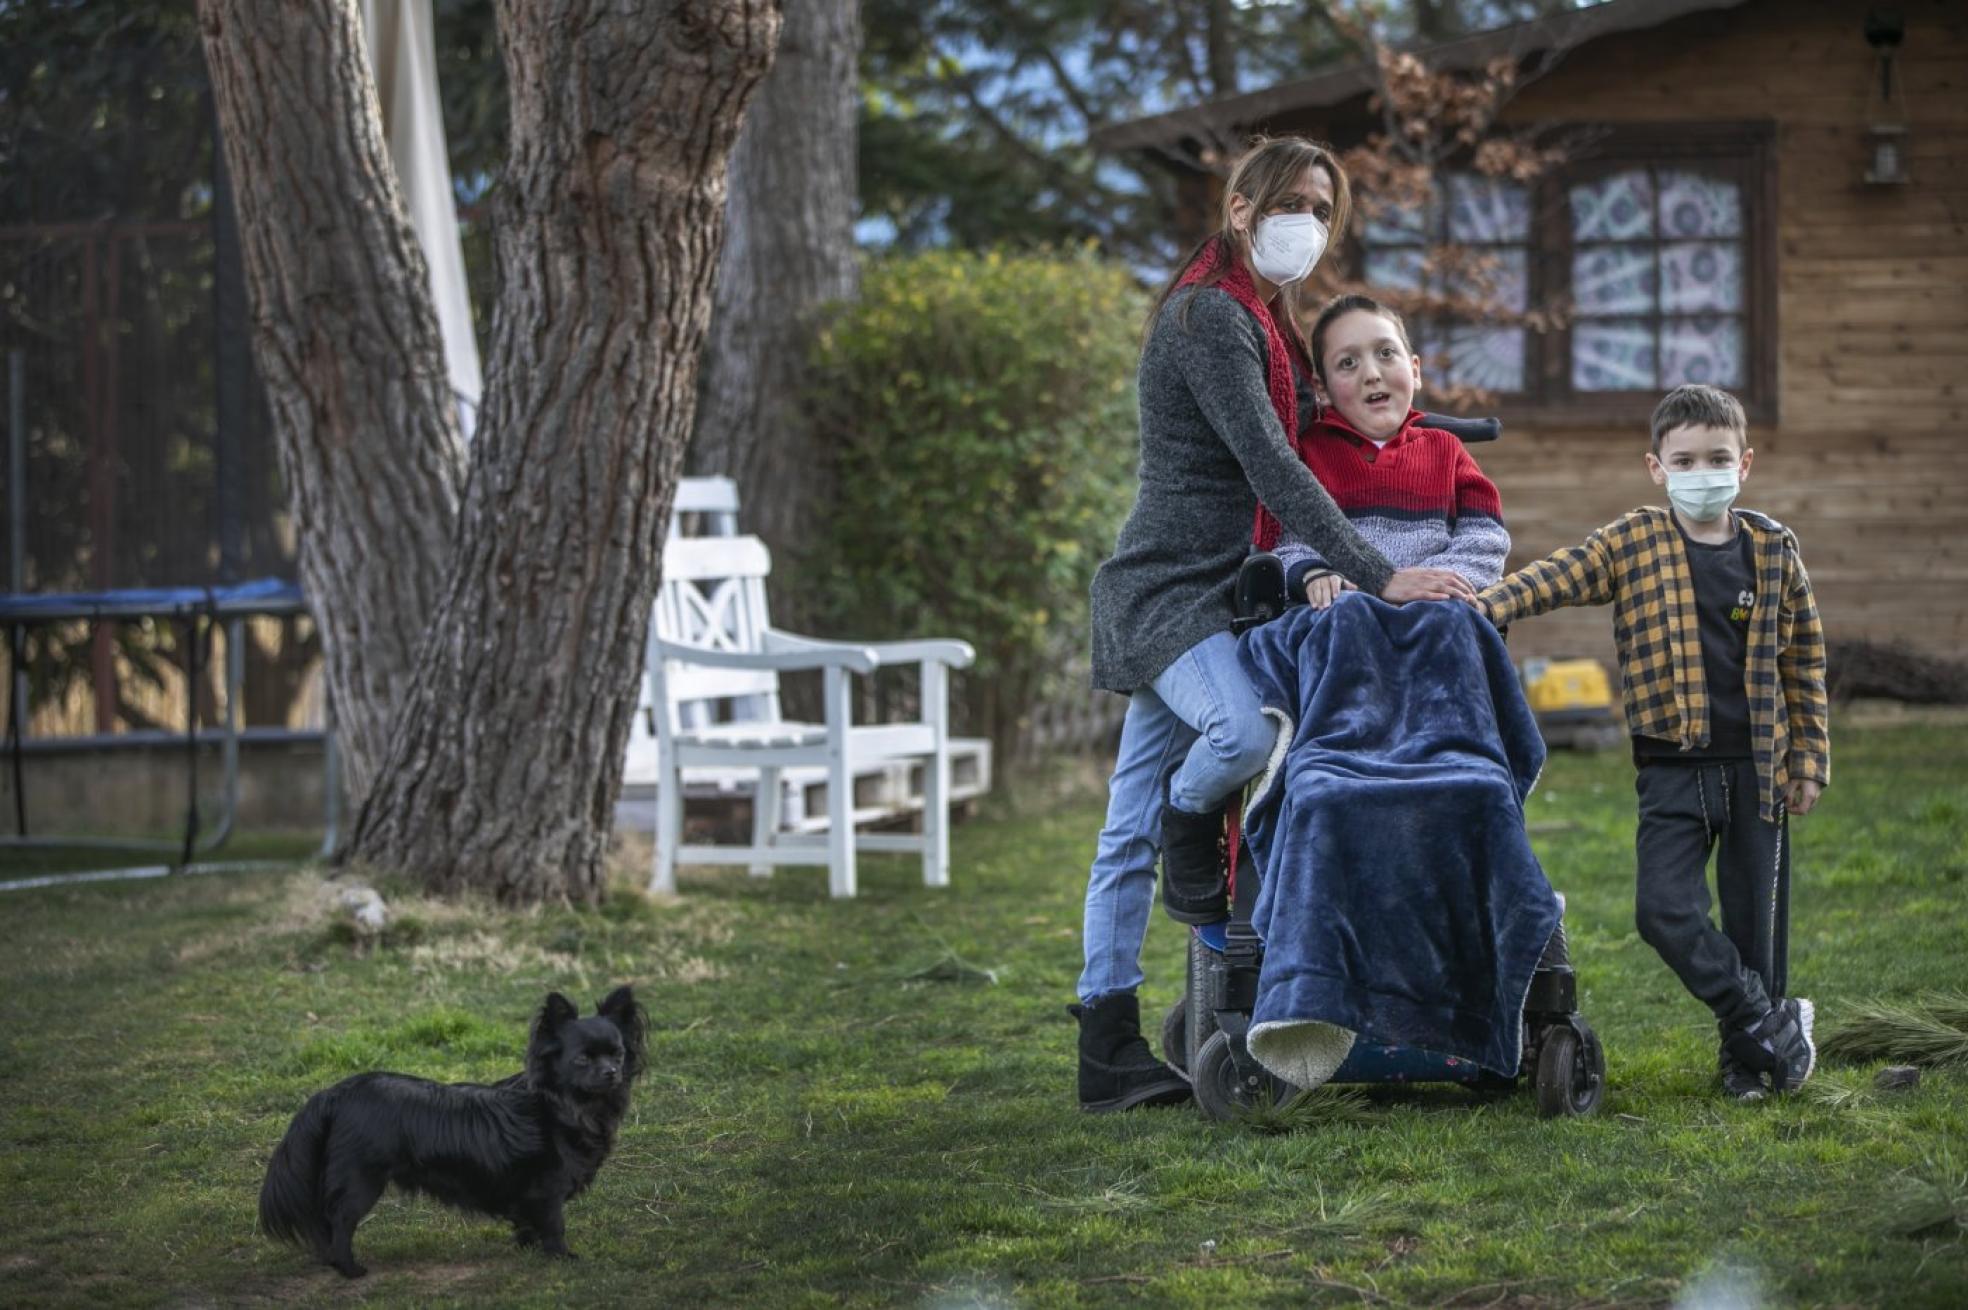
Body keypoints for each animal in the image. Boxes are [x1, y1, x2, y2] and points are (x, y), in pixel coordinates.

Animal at [259, 986, 646, 1277]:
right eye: (582, 1059)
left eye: (618, 1054)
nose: (611, 1072)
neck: (563, 1104)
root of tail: (335, 1092)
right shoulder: (546, 1189)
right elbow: (554, 1225)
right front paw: (561, 1257)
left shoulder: (527, 1195)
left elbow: (527, 1224)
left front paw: (528, 1249)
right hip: (361, 1181)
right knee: (339, 1222)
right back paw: (349, 1269)